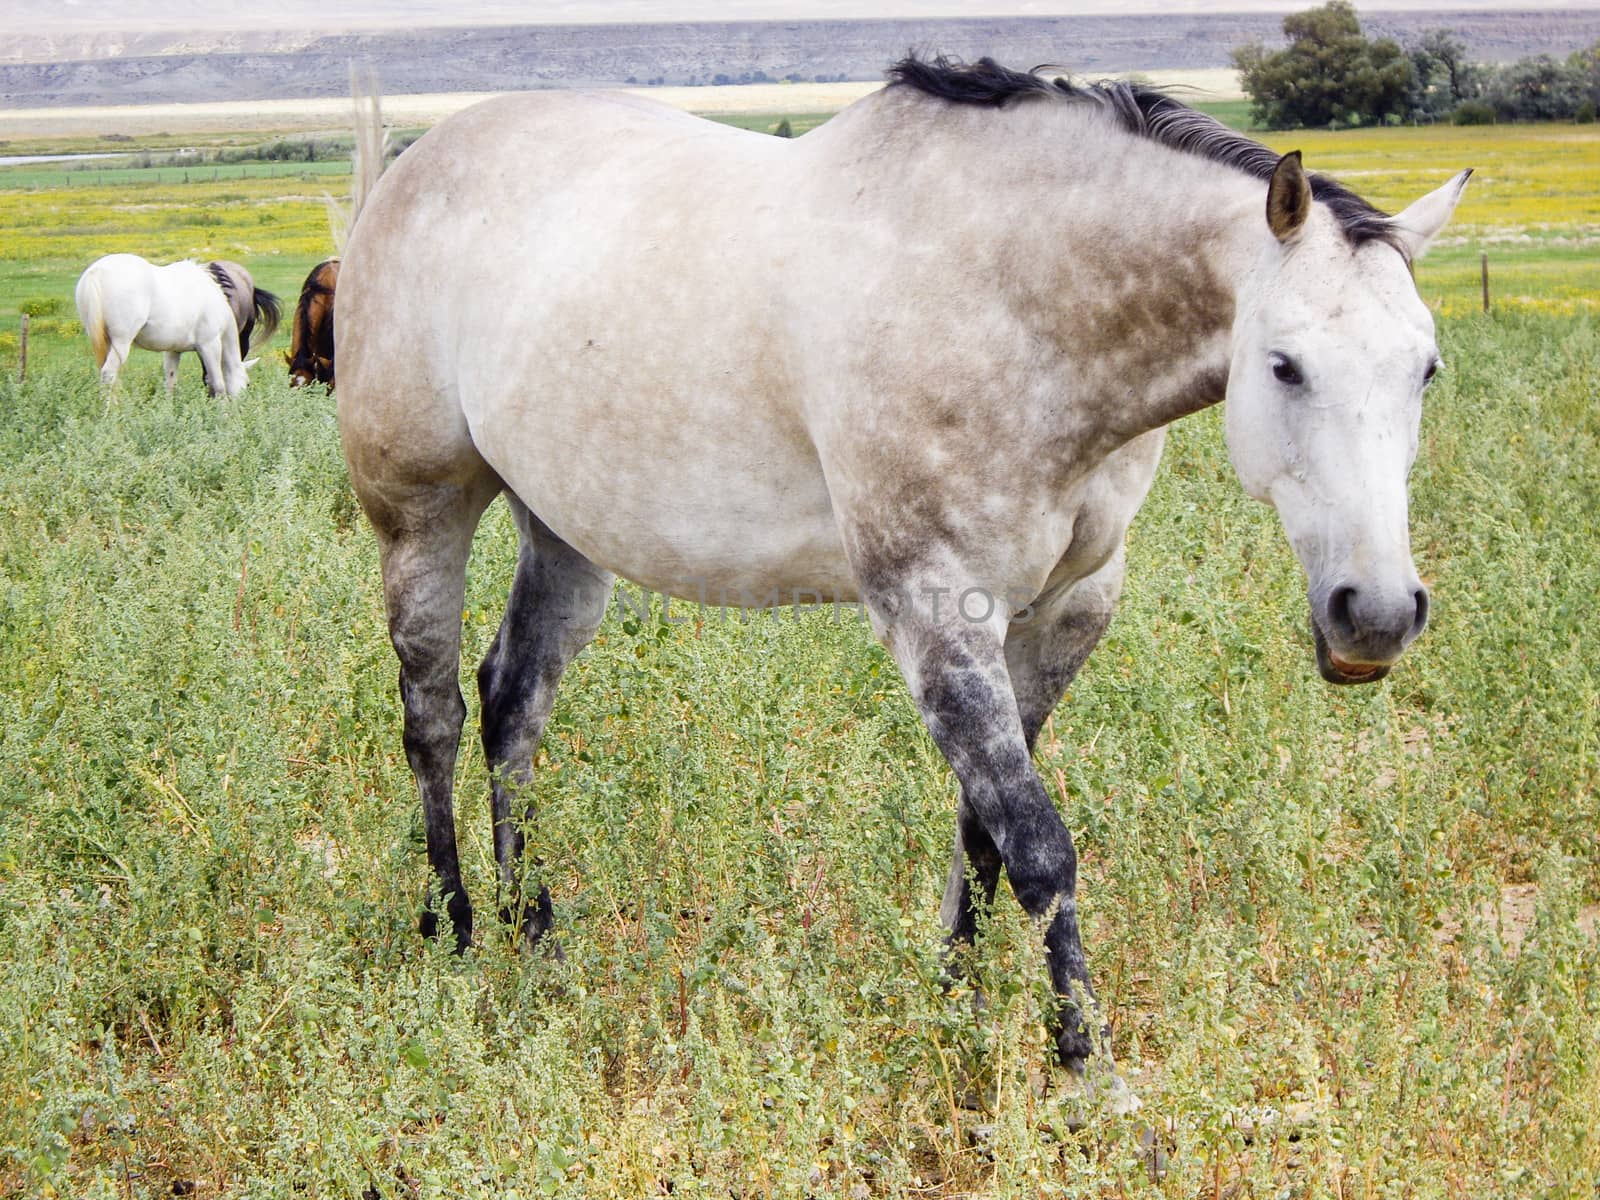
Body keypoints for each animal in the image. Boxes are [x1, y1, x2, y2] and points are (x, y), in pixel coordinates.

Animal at [73, 254, 278, 400]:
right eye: (248, 384)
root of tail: (96, 271)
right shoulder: (210, 345)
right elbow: (218, 384)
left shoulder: (172, 351)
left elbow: (170, 384)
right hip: (121, 343)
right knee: (108, 375)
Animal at [337, 56, 1472, 1081]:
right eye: (1283, 365)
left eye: (1426, 368)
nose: (1375, 614)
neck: (1014, 302)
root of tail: (410, 167)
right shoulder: (936, 608)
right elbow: (1040, 845)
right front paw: (1086, 1075)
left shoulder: (1062, 612)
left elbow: (984, 831)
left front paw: (954, 1008)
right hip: (421, 515)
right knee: (434, 713)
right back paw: (456, 932)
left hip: (565, 532)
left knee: (512, 704)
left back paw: (538, 941)